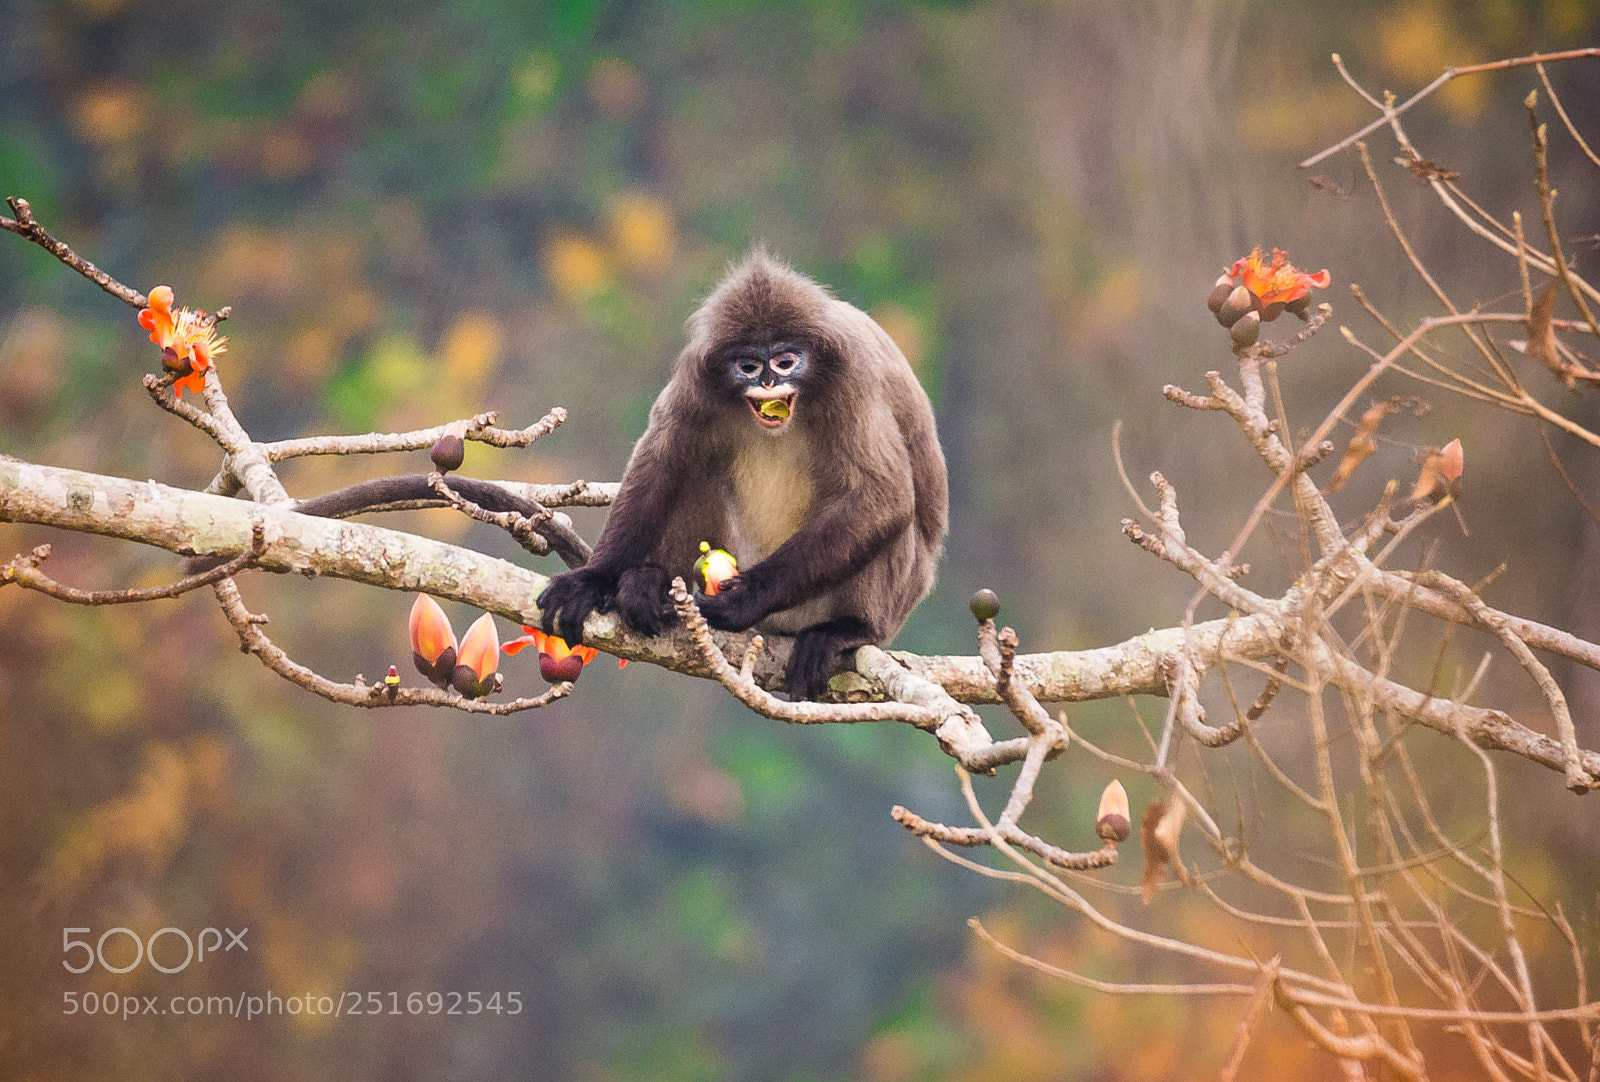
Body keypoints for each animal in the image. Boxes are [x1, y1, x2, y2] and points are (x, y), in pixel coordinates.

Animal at [537, 249, 948, 701]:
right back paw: (648, 584)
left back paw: (848, 629)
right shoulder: (695, 381)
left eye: (786, 362)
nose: (768, 381)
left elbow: (883, 497)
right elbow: (660, 464)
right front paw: (592, 579)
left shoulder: (851, 378)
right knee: (695, 470)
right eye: (749, 366)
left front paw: (744, 601)